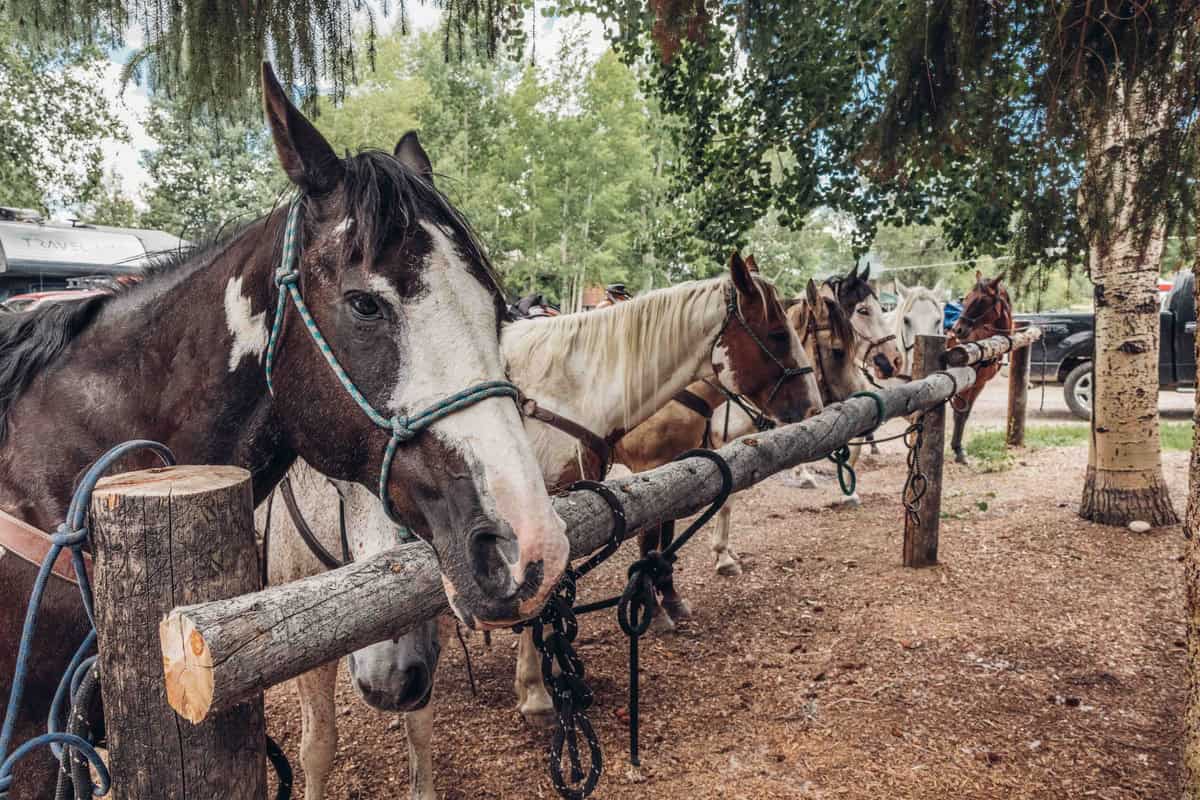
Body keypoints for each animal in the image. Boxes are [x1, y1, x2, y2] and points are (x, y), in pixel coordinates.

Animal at [945, 273, 1012, 462]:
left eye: (981, 300)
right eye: (966, 298)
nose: (958, 330)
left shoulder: (979, 383)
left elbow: (965, 413)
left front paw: (959, 449)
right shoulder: (962, 383)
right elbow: (958, 413)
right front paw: (957, 450)